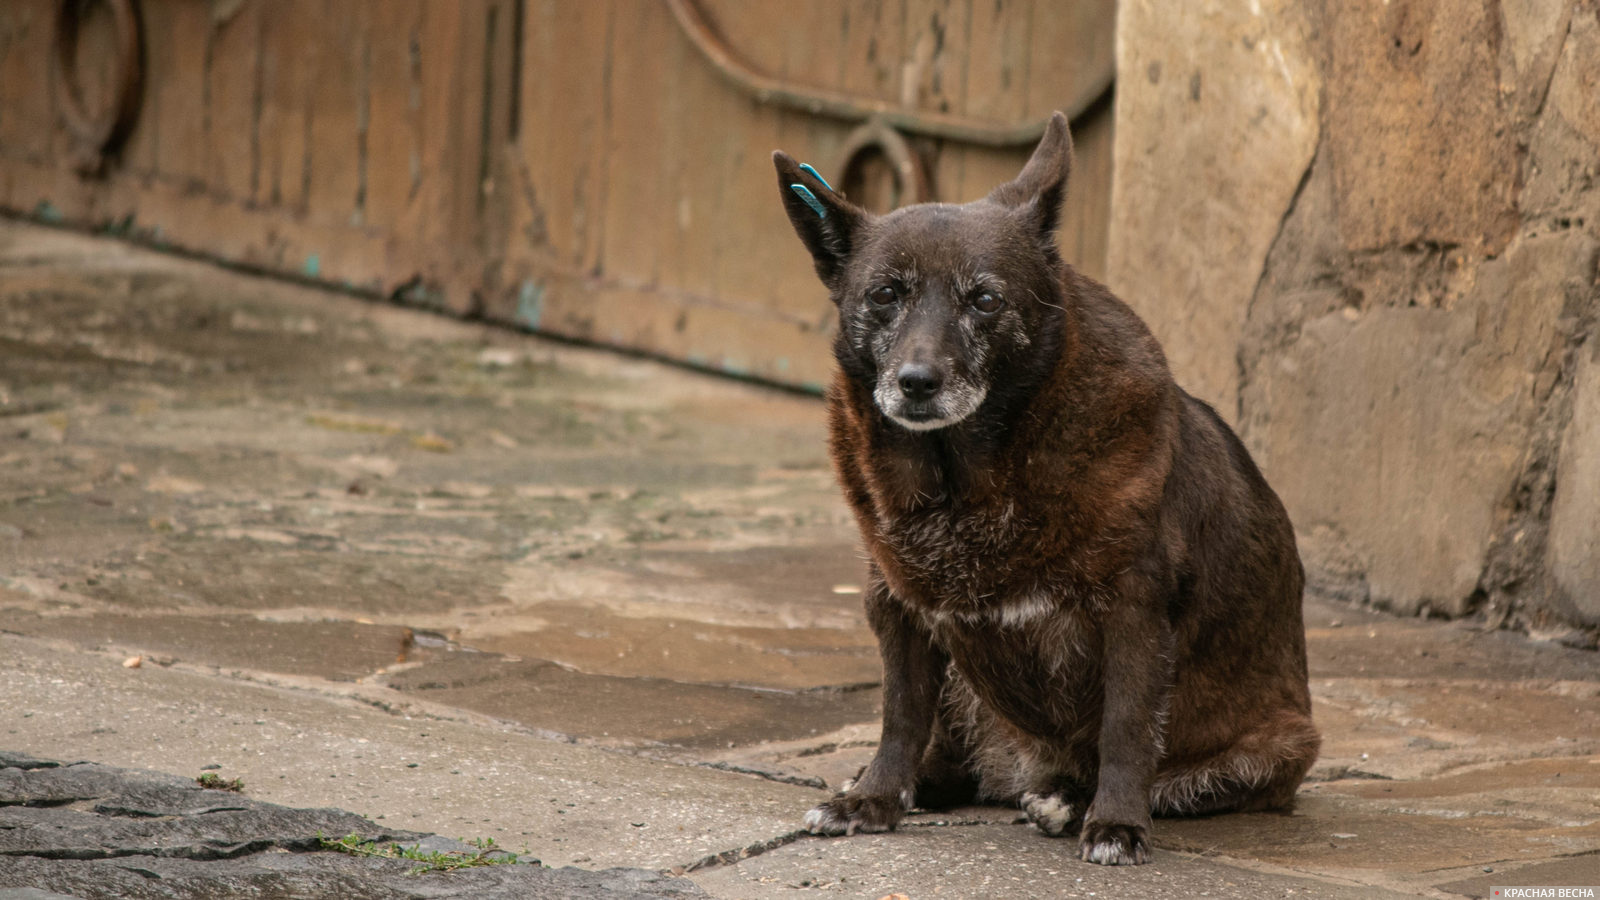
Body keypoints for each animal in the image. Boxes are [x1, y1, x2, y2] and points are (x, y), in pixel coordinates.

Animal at [771, 112, 1312, 864]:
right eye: (884, 294)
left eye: (985, 298)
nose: (915, 382)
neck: (967, 481)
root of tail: (1021, 770)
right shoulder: (899, 607)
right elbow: (899, 717)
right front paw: (874, 799)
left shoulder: (1135, 613)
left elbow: (1126, 731)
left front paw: (1116, 823)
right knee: (952, 758)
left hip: (1277, 749)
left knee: (1158, 774)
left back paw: (1069, 801)